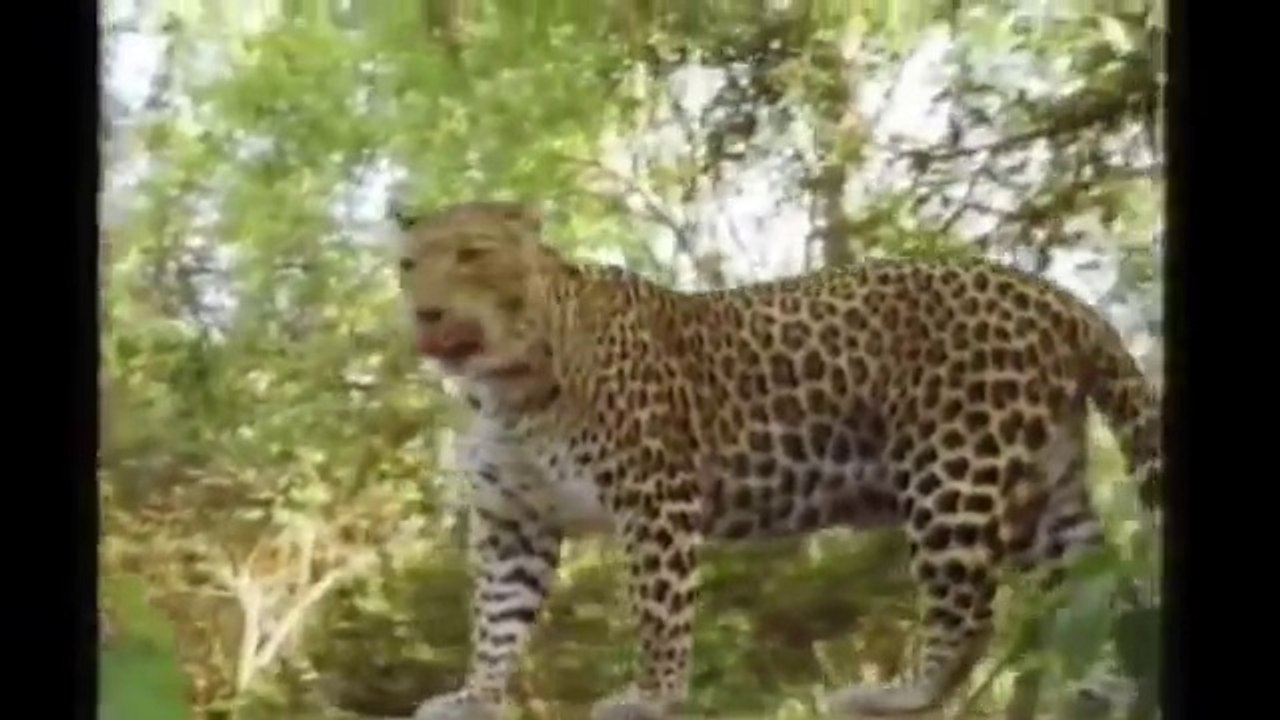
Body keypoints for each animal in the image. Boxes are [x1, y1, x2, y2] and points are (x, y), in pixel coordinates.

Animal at [389, 200, 1161, 720]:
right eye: (408, 265)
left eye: (472, 254)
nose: (425, 313)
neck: (505, 387)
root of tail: (1055, 295)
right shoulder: (515, 524)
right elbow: (496, 619)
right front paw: (474, 695)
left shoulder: (654, 495)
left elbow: (658, 609)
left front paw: (652, 695)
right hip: (1041, 492)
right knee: (1096, 591)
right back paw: (1107, 685)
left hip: (952, 474)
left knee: (968, 613)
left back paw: (896, 695)